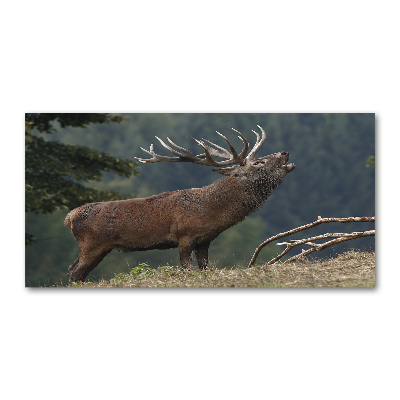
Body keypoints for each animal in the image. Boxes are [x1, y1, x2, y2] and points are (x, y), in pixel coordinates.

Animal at [63, 124, 294, 282]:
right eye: (258, 162)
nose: (285, 152)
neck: (211, 212)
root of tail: (69, 217)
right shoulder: (185, 236)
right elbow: (185, 269)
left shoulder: (204, 240)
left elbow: (204, 269)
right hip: (92, 244)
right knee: (74, 271)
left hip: (101, 247)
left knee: (79, 272)